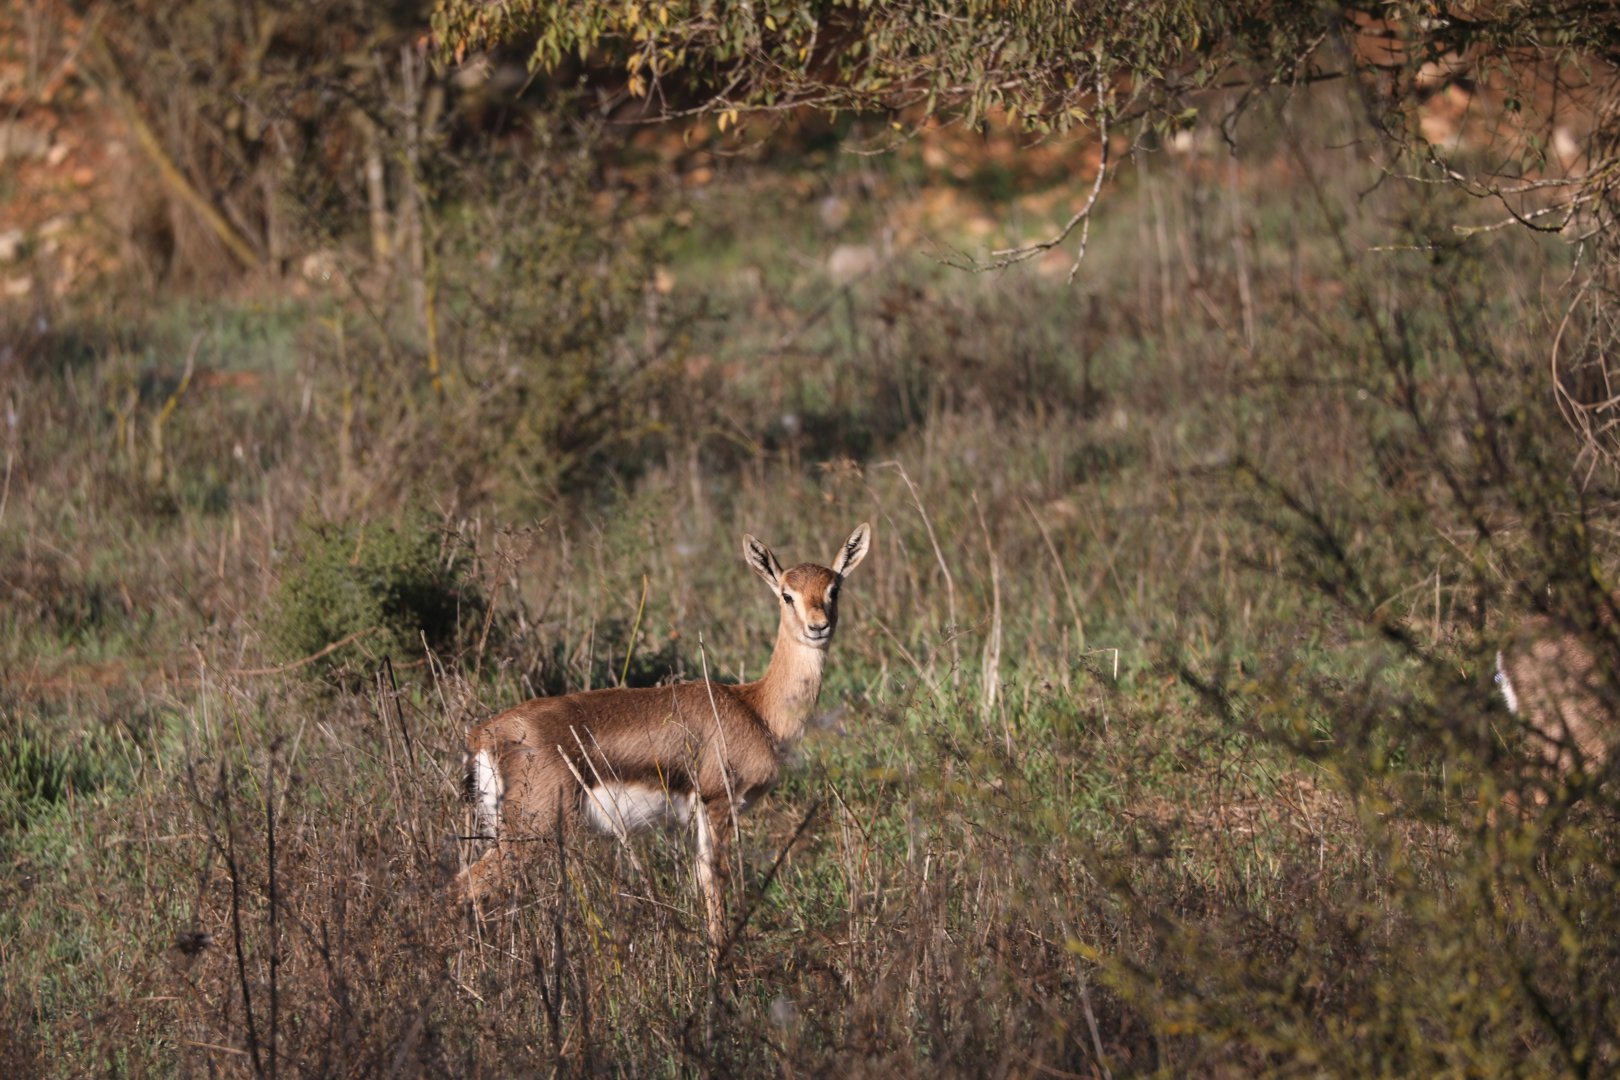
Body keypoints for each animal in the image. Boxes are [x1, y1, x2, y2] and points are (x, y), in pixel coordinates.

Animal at [455, 523, 872, 949]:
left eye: (834, 589)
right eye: (787, 595)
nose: (818, 627)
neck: (756, 709)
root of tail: (484, 734)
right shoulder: (717, 805)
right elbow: (714, 885)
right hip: (531, 833)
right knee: (464, 885)